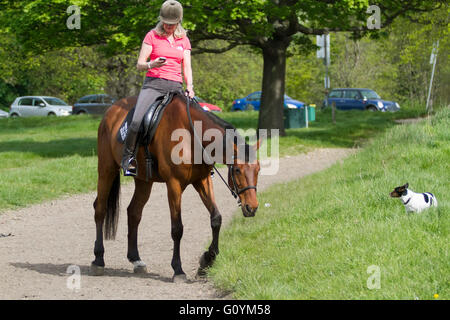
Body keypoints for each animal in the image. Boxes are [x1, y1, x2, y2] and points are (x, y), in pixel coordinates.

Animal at [90, 91, 262, 282]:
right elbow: (177, 228)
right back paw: (98, 259)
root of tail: (110, 111)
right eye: (238, 170)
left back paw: (136, 260)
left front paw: (207, 260)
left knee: (134, 212)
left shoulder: (202, 180)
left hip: (144, 181)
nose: (252, 207)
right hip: (106, 170)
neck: (192, 135)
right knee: (100, 209)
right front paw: (178, 269)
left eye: (258, 169)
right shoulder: (174, 184)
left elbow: (216, 219)